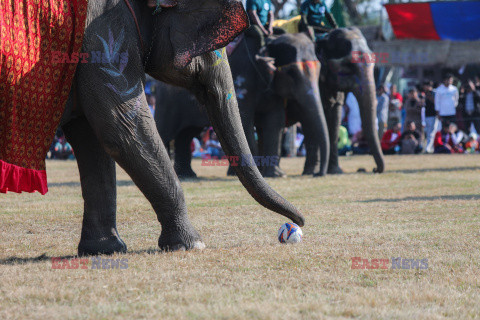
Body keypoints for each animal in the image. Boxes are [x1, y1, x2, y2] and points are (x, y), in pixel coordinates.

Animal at [11, 0, 304, 255]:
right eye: (214, 44)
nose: (298, 223)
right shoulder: (104, 38)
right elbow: (122, 127)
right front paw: (191, 244)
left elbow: (92, 140)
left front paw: (104, 249)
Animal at [154, 30, 330, 179]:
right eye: (291, 72)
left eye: (320, 70)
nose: (318, 175)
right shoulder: (241, 81)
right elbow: (245, 121)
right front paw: (260, 173)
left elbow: (274, 121)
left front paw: (276, 175)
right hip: (166, 102)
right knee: (167, 131)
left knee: (187, 134)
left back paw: (188, 175)